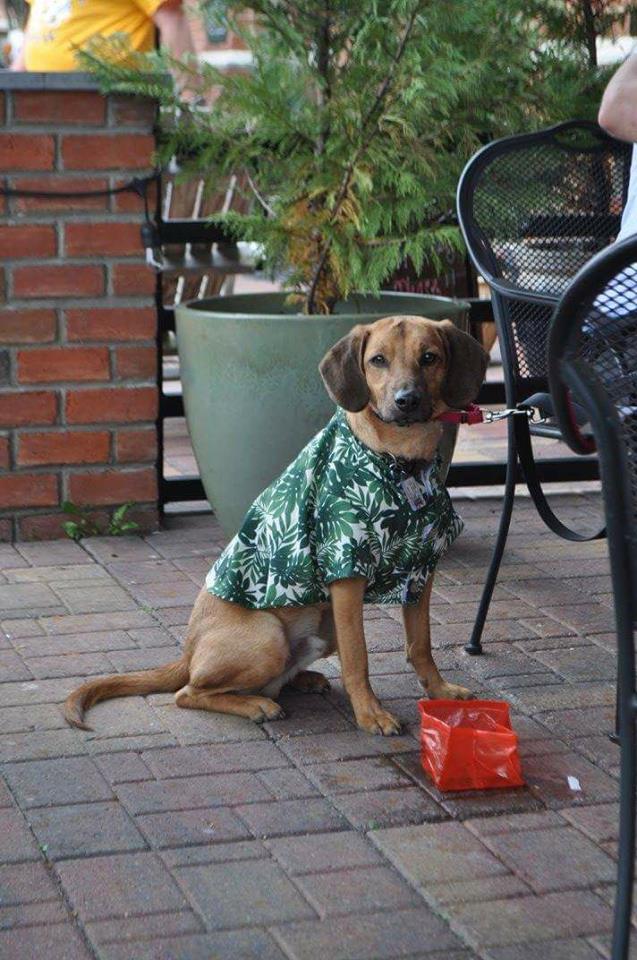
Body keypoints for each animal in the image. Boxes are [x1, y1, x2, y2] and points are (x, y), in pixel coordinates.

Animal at [64, 316, 486, 736]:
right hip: (269, 636)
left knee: (272, 678)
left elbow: (421, 645)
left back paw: (303, 680)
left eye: (429, 357)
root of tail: (187, 652)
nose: (406, 400)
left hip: (321, 628)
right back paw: (257, 705)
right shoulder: (345, 573)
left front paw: (440, 691)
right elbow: (358, 658)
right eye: (378, 360)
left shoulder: (421, 571)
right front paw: (371, 714)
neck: (401, 461)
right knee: (190, 693)